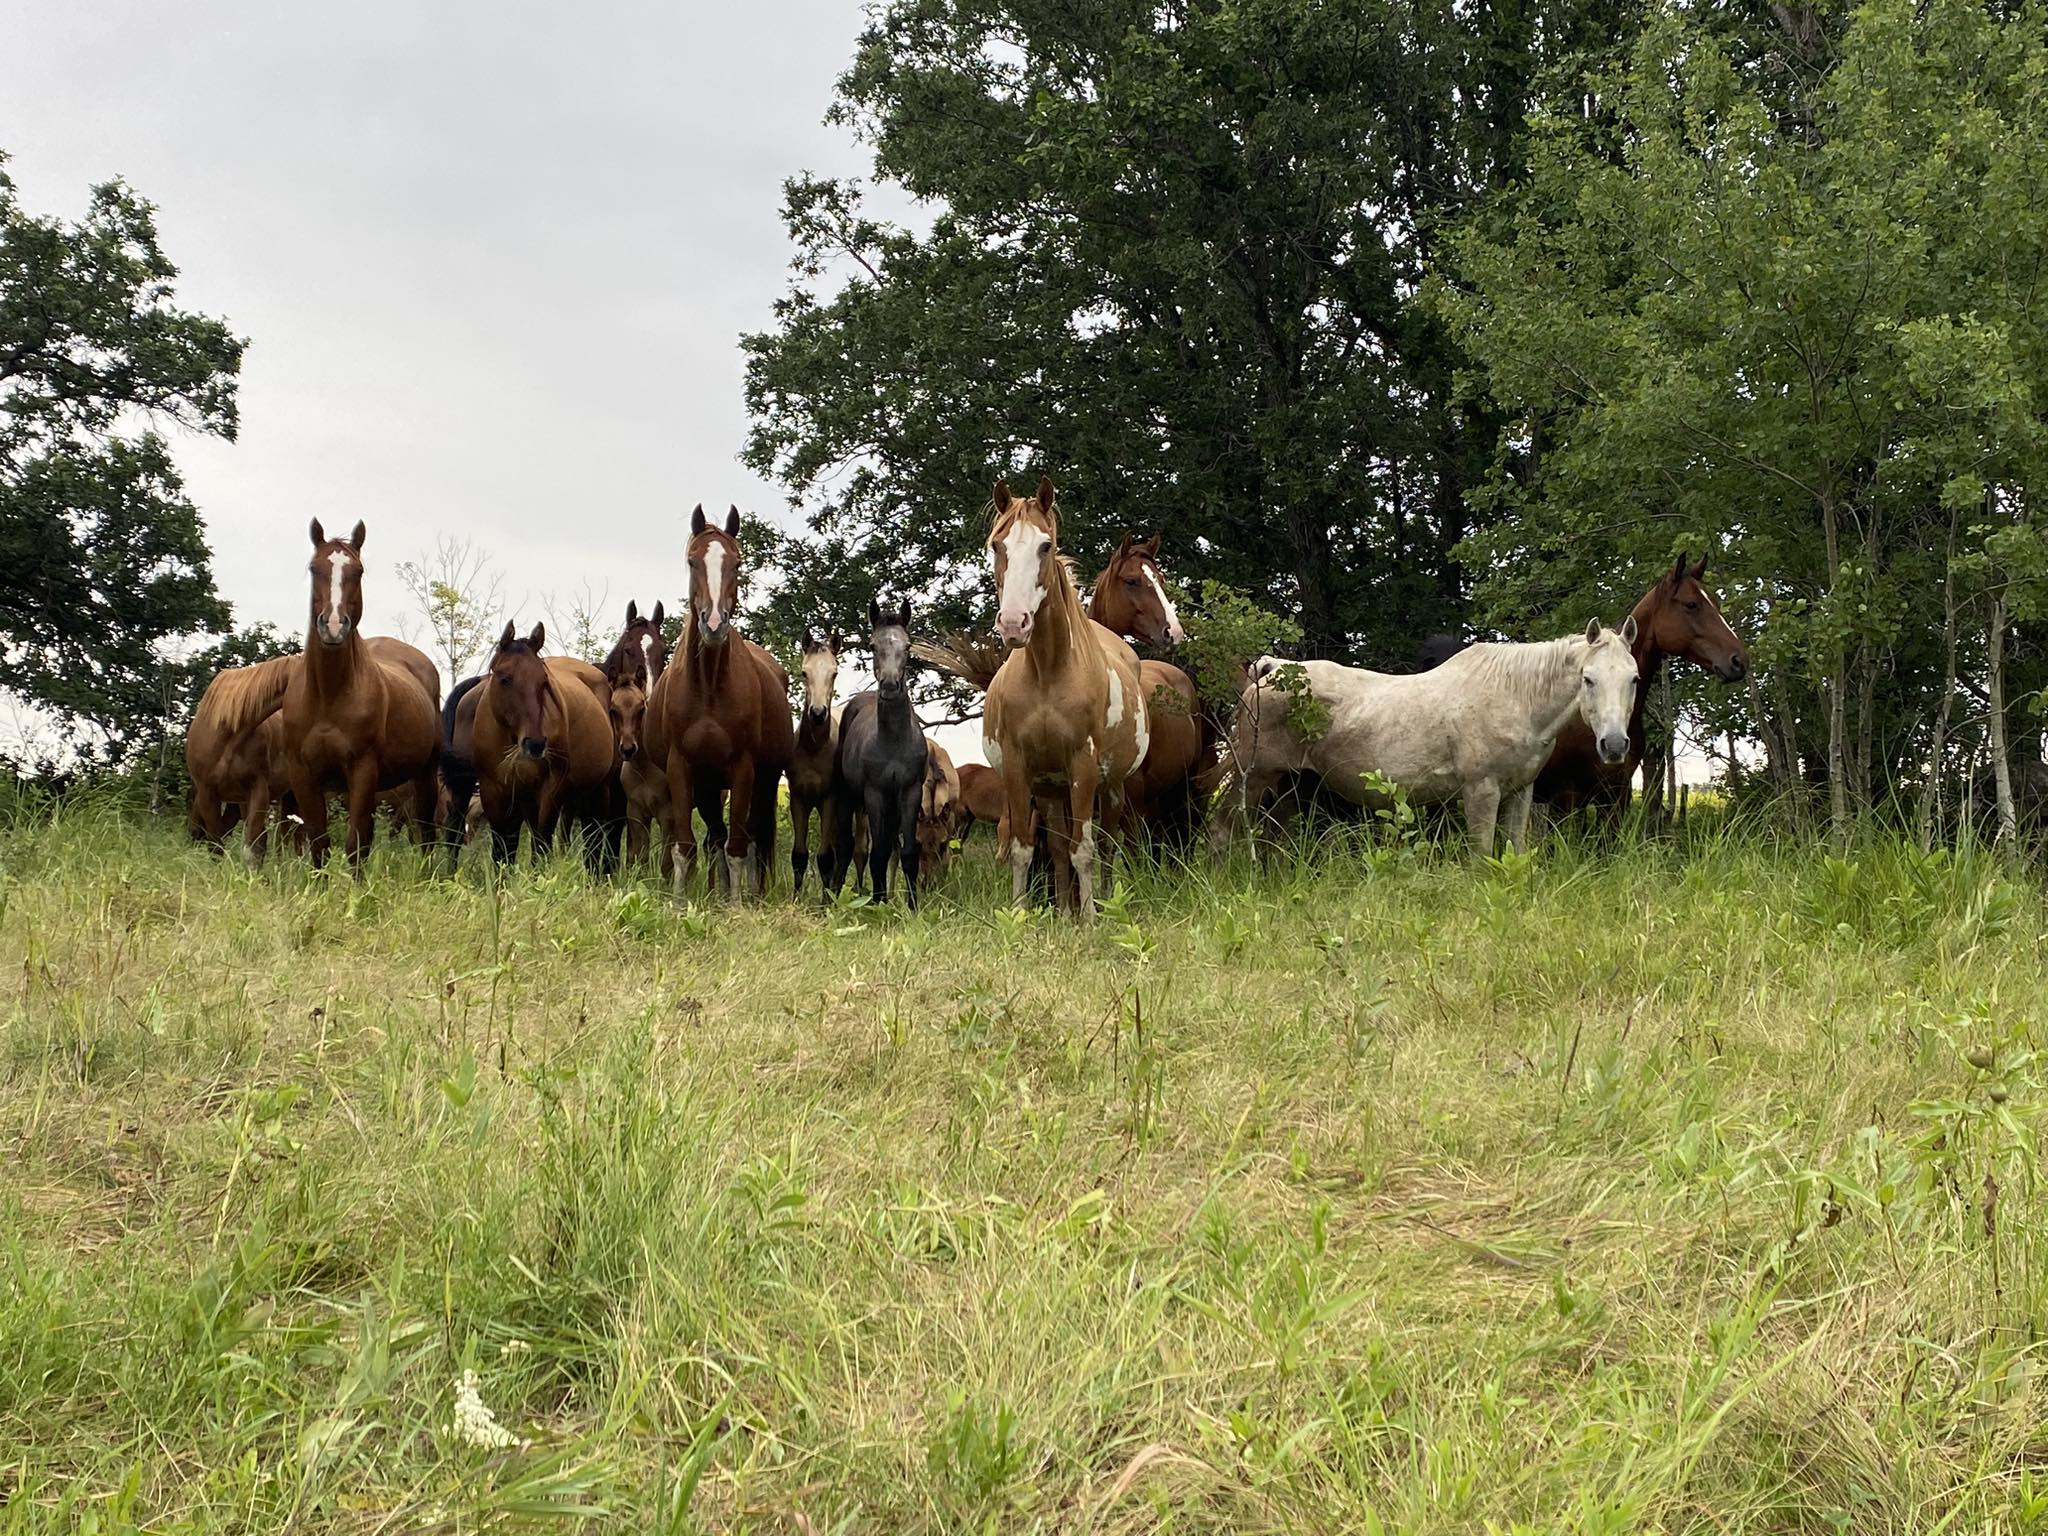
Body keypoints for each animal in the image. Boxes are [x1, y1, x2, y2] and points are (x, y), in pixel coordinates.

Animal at [209, 520, 441, 869]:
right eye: (314, 568)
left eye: (358, 571)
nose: (333, 626)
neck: (329, 697)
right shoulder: (304, 775)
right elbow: (319, 842)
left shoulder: (362, 770)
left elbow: (355, 844)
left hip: (424, 775)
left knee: (425, 834)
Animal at [470, 622, 616, 863]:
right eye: (505, 678)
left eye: (543, 682)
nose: (535, 744)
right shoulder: (494, 791)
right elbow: (502, 850)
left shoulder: (551, 789)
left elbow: (541, 844)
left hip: (598, 789)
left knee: (593, 842)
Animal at [642, 505, 794, 898]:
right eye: (693, 561)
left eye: (736, 563)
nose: (713, 624)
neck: (708, 688)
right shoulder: (682, 769)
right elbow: (686, 846)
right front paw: (679, 902)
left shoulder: (744, 769)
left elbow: (739, 846)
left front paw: (738, 904)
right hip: (709, 785)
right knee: (716, 837)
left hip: (765, 781)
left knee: (754, 838)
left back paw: (750, 894)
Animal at [981, 477, 1148, 917]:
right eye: (997, 545)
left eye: (1046, 546)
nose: (1013, 623)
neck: (1047, 672)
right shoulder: (1019, 768)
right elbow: (1025, 849)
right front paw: (1021, 914)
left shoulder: (1083, 764)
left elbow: (1085, 850)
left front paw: (1090, 918)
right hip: (1051, 789)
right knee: (1057, 847)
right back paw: (1063, 912)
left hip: (1110, 786)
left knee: (1106, 844)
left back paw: (1102, 903)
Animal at [1213, 619, 1641, 861]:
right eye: (1588, 679)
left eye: (1633, 679)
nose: (1614, 745)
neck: (1514, 697)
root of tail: (1271, 670)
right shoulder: (1481, 790)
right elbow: (1481, 856)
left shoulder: (1521, 792)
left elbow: (1515, 851)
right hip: (1253, 777)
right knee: (1224, 827)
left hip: (1288, 783)